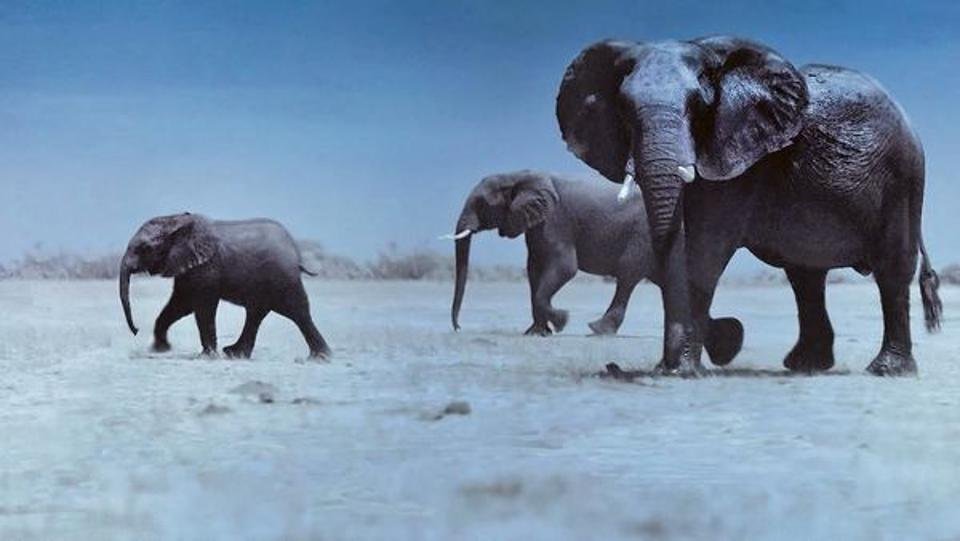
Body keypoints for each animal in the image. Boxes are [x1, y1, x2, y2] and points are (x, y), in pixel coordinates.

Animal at [119, 213, 330, 359]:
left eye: (144, 248)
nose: (136, 330)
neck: (176, 219)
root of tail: (296, 252)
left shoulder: (206, 267)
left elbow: (202, 306)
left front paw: (207, 357)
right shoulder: (189, 266)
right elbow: (181, 304)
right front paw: (160, 349)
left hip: (284, 278)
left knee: (298, 312)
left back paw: (320, 358)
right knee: (257, 313)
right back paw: (235, 354)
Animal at [448, 170, 743, 364]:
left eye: (481, 204)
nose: (459, 328)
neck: (518, 175)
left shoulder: (556, 220)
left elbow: (564, 267)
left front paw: (561, 321)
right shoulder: (536, 223)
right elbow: (533, 269)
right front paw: (536, 333)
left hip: (642, 236)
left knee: (628, 275)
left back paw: (598, 329)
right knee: (669, 283)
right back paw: (728, 345)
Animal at [556, 35, 942, 376]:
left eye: (698, 107)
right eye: (623, 110)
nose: (614, 367)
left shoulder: (740, 160)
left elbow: (704, 251)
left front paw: (682, 371)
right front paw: (677, 365)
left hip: (903, 179)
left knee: (892, 269)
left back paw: (887, 371)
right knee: (805, 275)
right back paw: (805, 365)